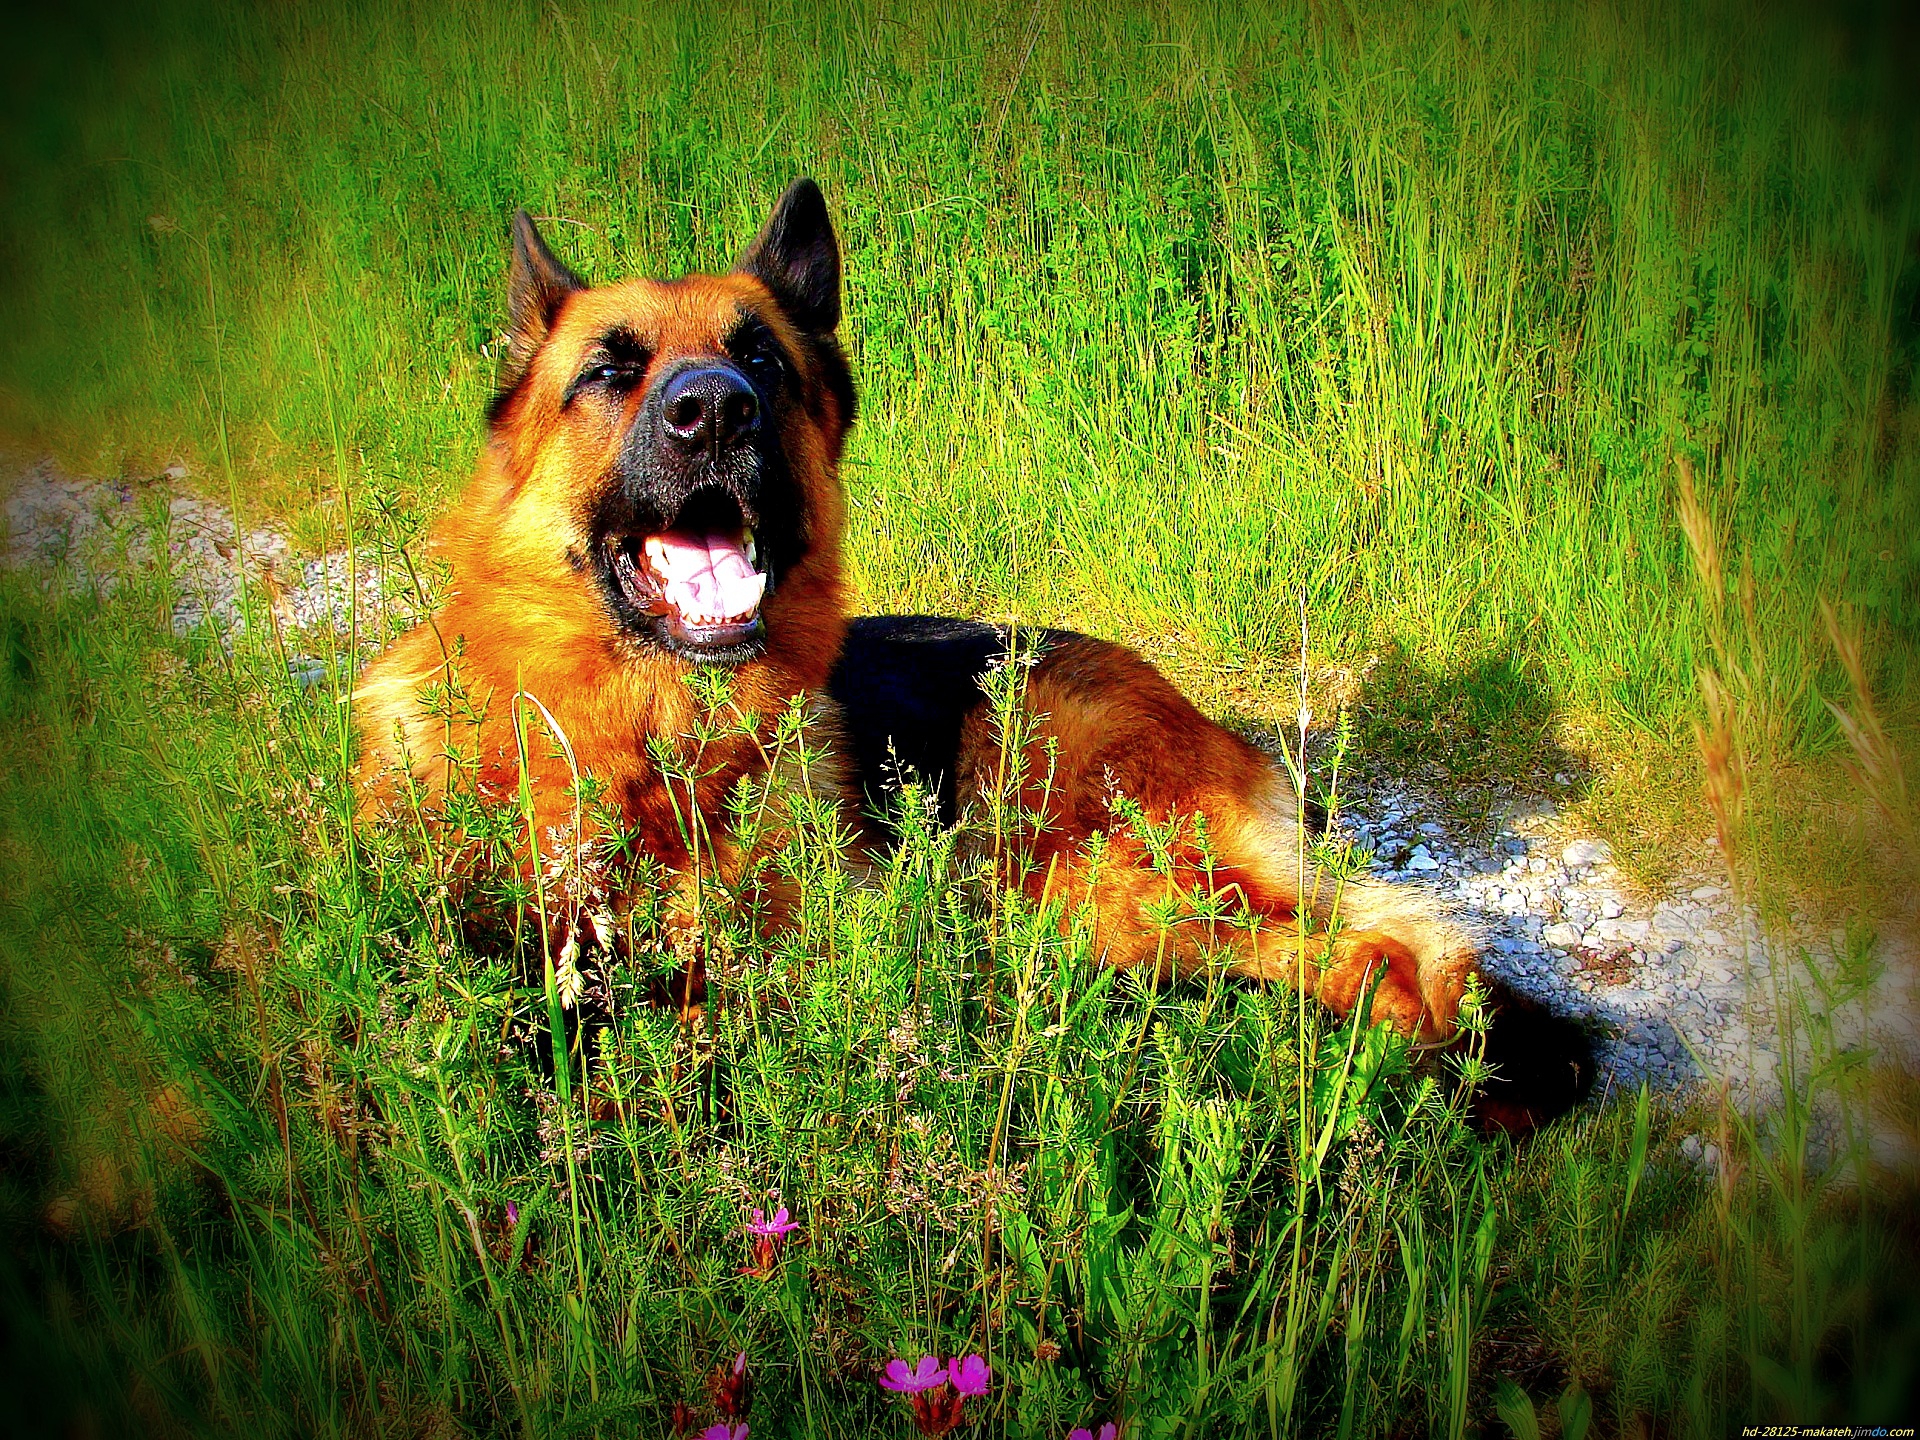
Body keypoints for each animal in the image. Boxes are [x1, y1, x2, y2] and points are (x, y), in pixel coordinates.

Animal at [360, 180, 1589, 1136]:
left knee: (1387, 945)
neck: (638, 742)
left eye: (760, 357)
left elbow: (691, 1025)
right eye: (609, 372)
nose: (718, 408)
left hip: (1088, 868)